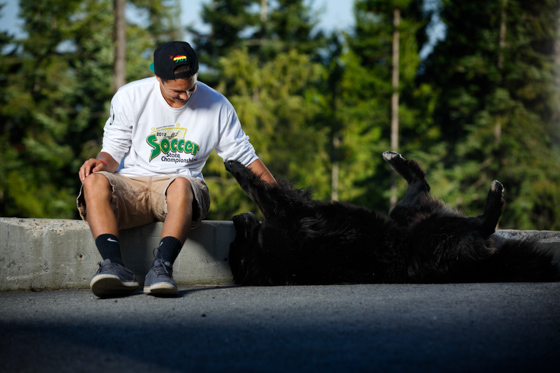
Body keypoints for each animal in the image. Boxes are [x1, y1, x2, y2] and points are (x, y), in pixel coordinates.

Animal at [225, 151, 556, 284]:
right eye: (235, 248)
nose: (237, 219)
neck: (263, 256)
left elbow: (261, 191)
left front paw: (235, 166)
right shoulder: (288, 213)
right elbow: (261, 191)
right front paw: (237, 168)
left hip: (403, 216)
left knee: (419, 186)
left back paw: (396, 160)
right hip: (433, 229)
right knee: (483, 222)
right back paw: (494, 196)